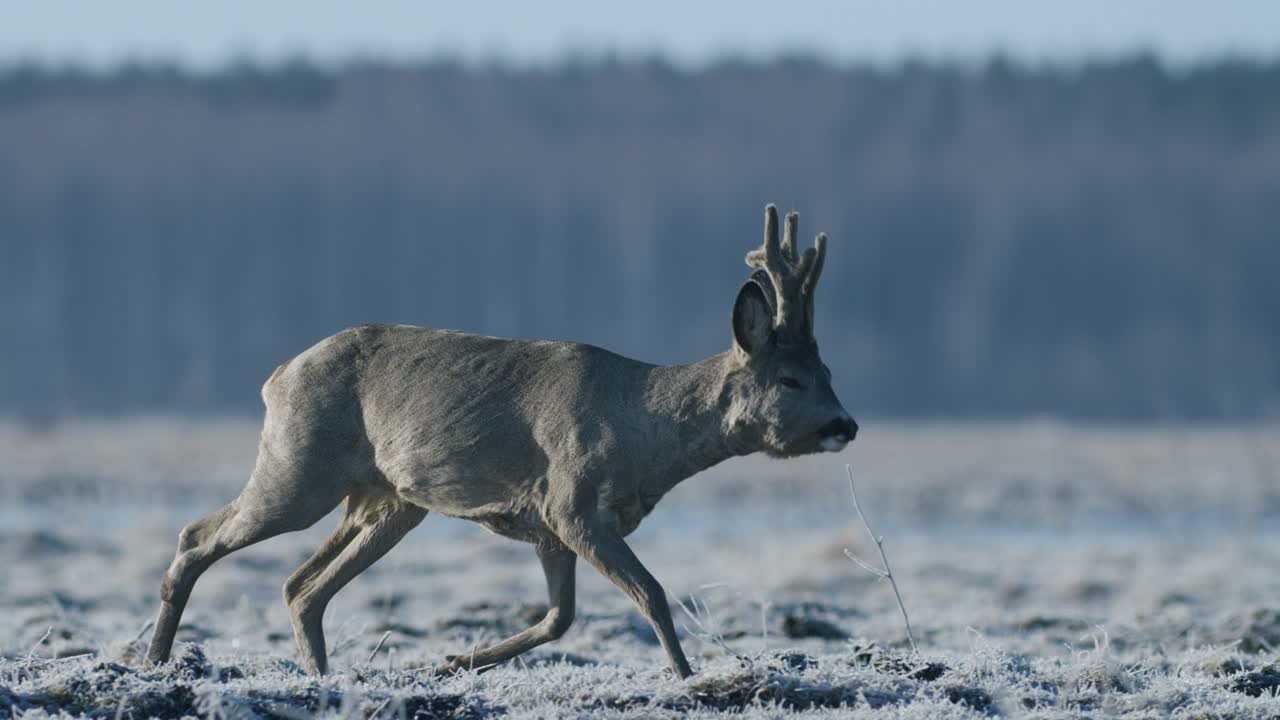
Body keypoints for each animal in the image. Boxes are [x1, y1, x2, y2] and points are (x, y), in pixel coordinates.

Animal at [146, 204, 856, 679]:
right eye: (790, 378)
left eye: (829, 371)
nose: (844, 425)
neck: (644, 437)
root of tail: (275, 376)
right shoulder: (573, 501)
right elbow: (651, 593)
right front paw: (687, 680)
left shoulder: (551, 526)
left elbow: (559, 617)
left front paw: (454, 661)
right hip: (298, 467)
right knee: (199, 536)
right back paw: (157, 658)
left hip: (387, 501)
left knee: (302, 587)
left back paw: (321, 676)